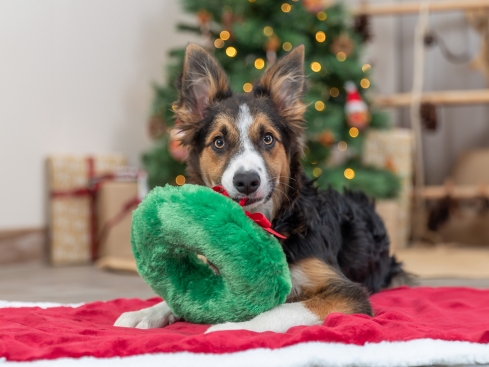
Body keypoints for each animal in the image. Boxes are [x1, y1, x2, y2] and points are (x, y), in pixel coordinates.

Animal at [113, 43, 404, 334]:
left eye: (267, 139)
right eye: (219, 142)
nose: (246, 181)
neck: (276, 219)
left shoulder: (348, 292)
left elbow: (280, 310)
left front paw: (229, 328)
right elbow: (181, 295)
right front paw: (146, 311)